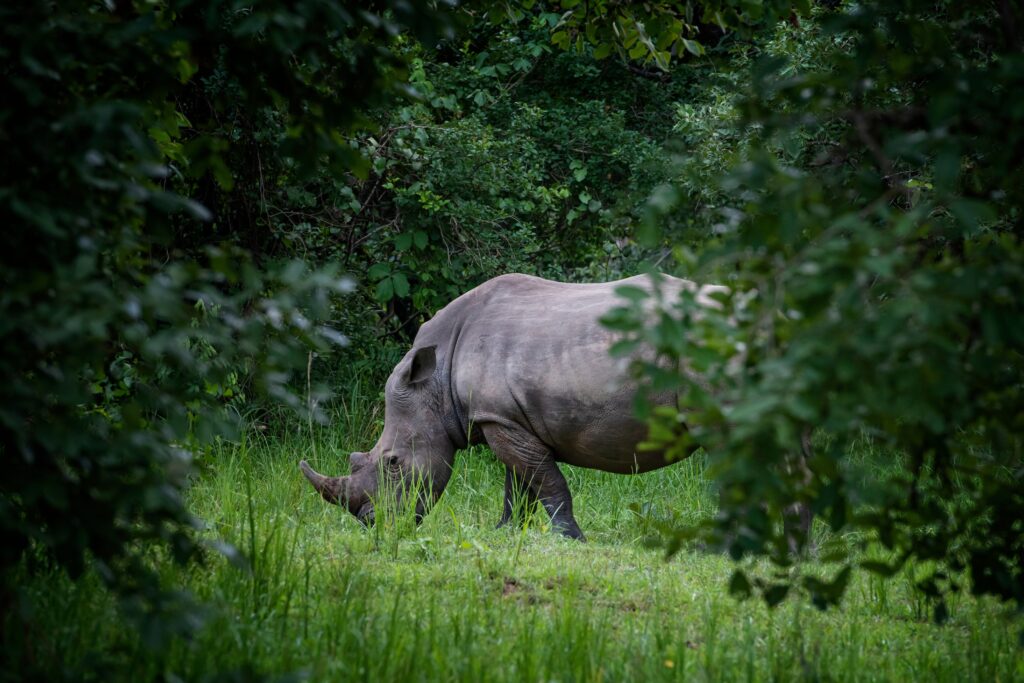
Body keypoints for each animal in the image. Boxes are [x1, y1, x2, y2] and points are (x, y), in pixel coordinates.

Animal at [300, 273, 805, 542]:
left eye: (392, 463)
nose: (373, 525)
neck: (436, 381)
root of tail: (776, 323)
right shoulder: (503, 418)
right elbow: (518, 486)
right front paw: (505, 536)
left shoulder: (503, 419)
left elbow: (547, 483)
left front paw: (572, 541)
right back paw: (797, 552)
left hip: (717, 351)